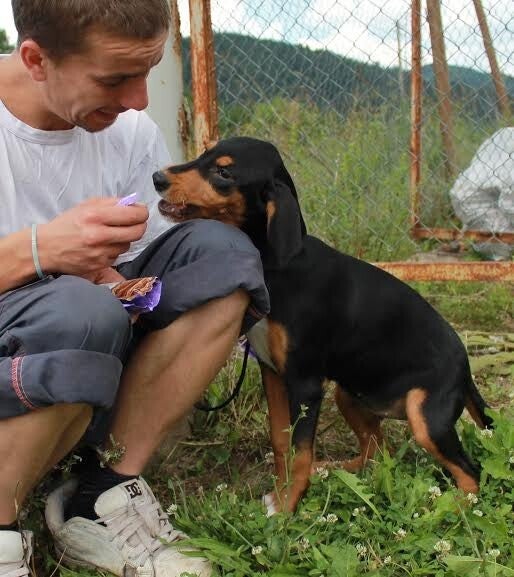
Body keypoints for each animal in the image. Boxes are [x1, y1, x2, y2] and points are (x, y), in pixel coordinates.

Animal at [152, 136, 492, 514]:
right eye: (204, 155)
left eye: (223, 172)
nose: (157, 178)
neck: (276, 267)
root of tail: (465, 366)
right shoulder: (273, 373)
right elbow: (281, 441)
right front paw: (280, 491)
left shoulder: (305, 384)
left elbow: (300, 451)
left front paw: (287, 507)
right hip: (349, 394)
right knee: (378, 453)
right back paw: (333, 469)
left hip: (425, 418)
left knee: (471, 473)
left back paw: (449, 508)